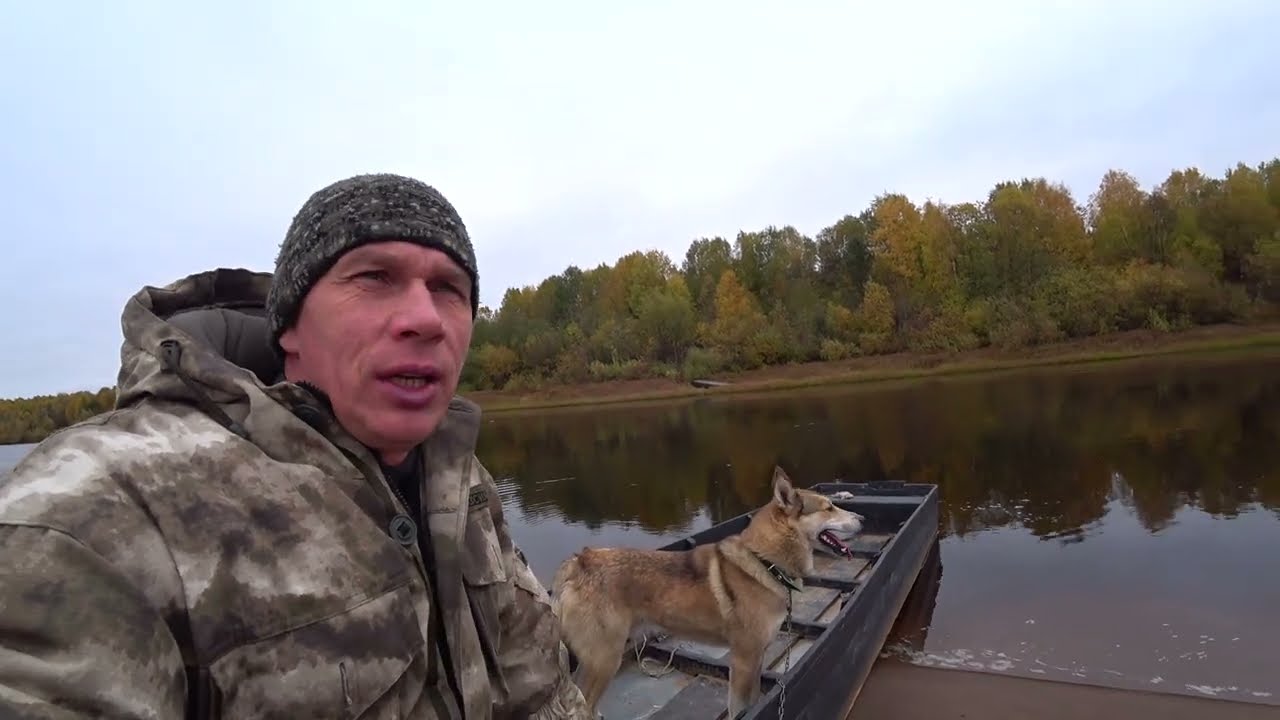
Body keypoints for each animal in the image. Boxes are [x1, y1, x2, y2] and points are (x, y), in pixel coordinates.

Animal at [550, 466, 865, 718]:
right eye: (828, 507)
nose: (863, 518)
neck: (763, 561)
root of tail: (578, 562)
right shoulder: (743, 660)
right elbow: (739, 708)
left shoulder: (757, 657)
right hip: (605, 660)